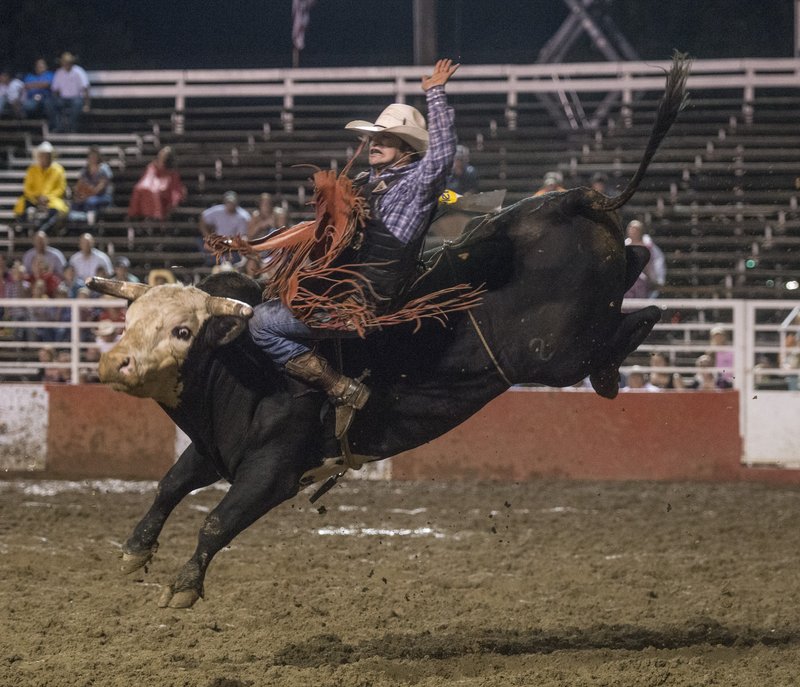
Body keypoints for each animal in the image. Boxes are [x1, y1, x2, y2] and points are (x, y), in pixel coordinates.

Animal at [86, 57, 688, 608]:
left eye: (183, 330)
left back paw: (610, 375)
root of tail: (573, 197)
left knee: (638, 319)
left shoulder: (272, 471)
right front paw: (135, 550)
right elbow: (170, 483)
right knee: (634, 271)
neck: (243, 369)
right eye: (130, 321)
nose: (115, 363)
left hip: (559, 354)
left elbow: (217, 518)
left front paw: (184, 585)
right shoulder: (213, 447)